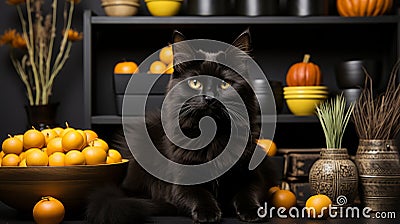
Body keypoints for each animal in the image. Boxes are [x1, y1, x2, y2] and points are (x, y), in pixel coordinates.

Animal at [86, 29, 276, 224]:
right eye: (195, 83)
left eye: (225, 84)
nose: (209, 98)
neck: (212, 136)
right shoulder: (181, 182)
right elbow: (198, 195)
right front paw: (207, 213)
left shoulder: (252, 175)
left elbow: (250, 192)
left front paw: (253, 211)